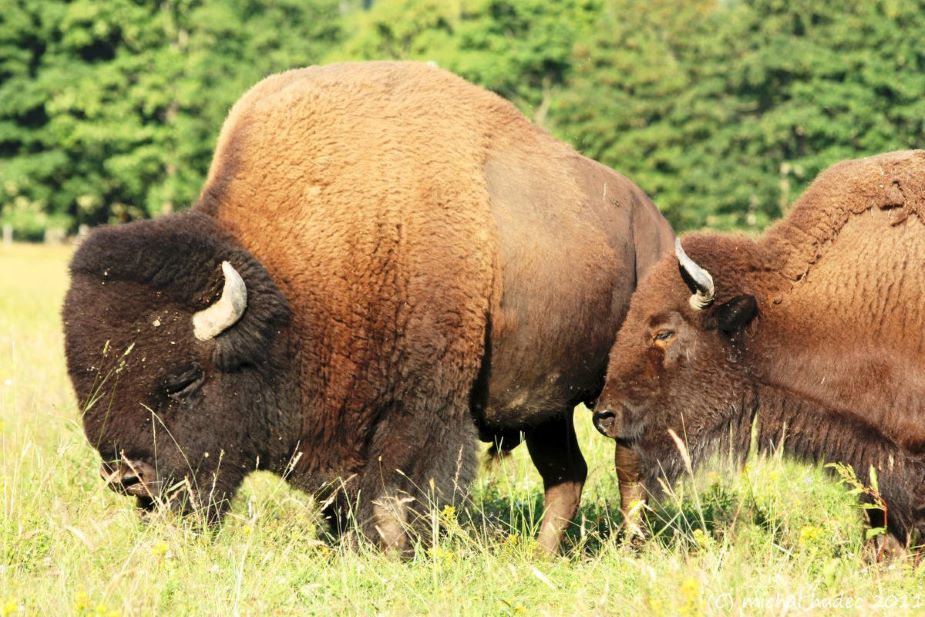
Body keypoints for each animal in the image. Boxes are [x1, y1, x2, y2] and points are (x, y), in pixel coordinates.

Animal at [65, 61, 672, 552]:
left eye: (184, 381)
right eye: (87, 385)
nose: (127, 478)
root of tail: (655, 224)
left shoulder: (419, 410)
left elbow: (397, 491)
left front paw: (390, 551)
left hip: (623, 391)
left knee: (631, 467)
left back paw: (630, 547)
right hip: (549, 405)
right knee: (566, 474)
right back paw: (540, 556)